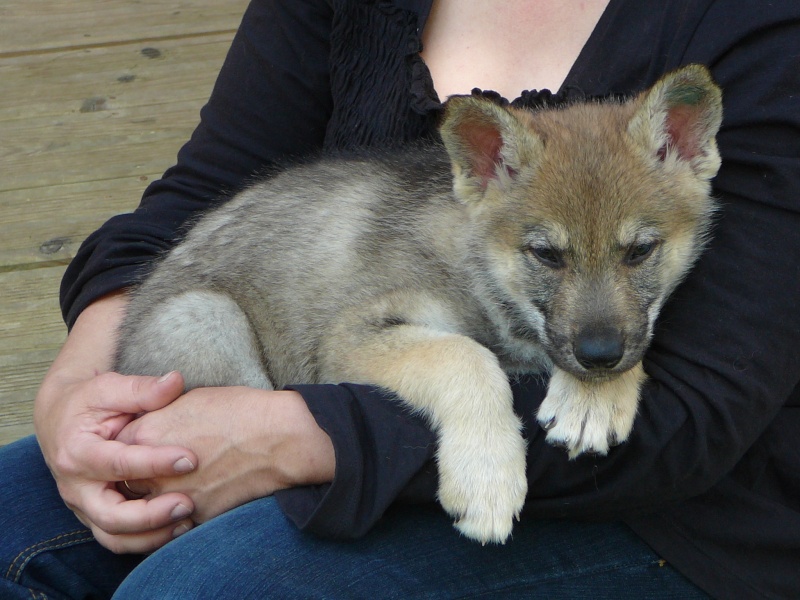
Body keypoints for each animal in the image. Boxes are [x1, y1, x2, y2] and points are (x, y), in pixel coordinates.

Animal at [115, 65, 720, 544]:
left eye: (640, 251)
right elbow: (464, 357)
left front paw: (594, 401)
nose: (599, 358)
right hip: (204, 319)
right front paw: (487, 477)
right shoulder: (352, 335)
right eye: (546, 255)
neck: (479, 275)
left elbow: (636, 332)